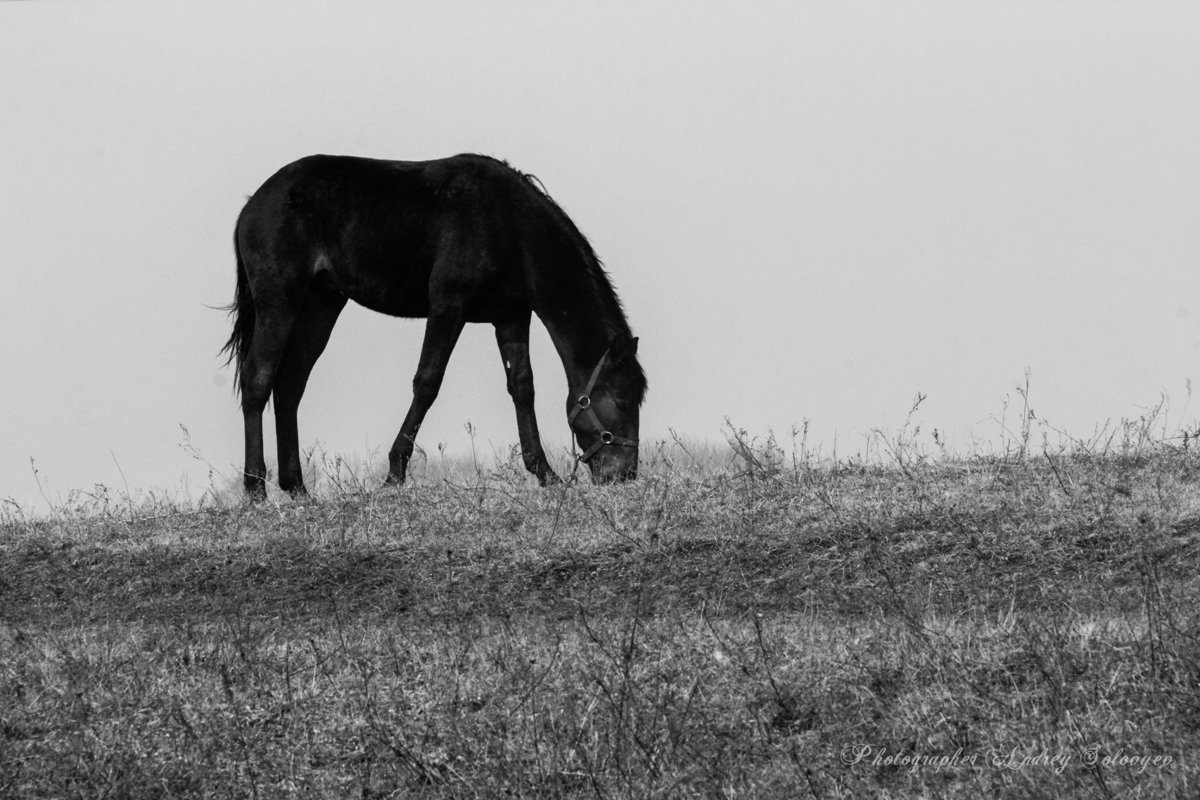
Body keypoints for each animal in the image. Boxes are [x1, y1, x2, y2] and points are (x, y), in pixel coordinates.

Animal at [223, 153, 648, 496]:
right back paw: (255, 489)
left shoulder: (511, 316)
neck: (509, 226)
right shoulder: (447, 308)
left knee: (290, 384)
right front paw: (394, 473)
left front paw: (544, 473)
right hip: (279, 302)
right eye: (623, 400)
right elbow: (427, 382)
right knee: (258, 378)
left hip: (322, 304)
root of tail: (252, 205)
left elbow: (522, 387)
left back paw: (296, 488)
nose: (625, 474)